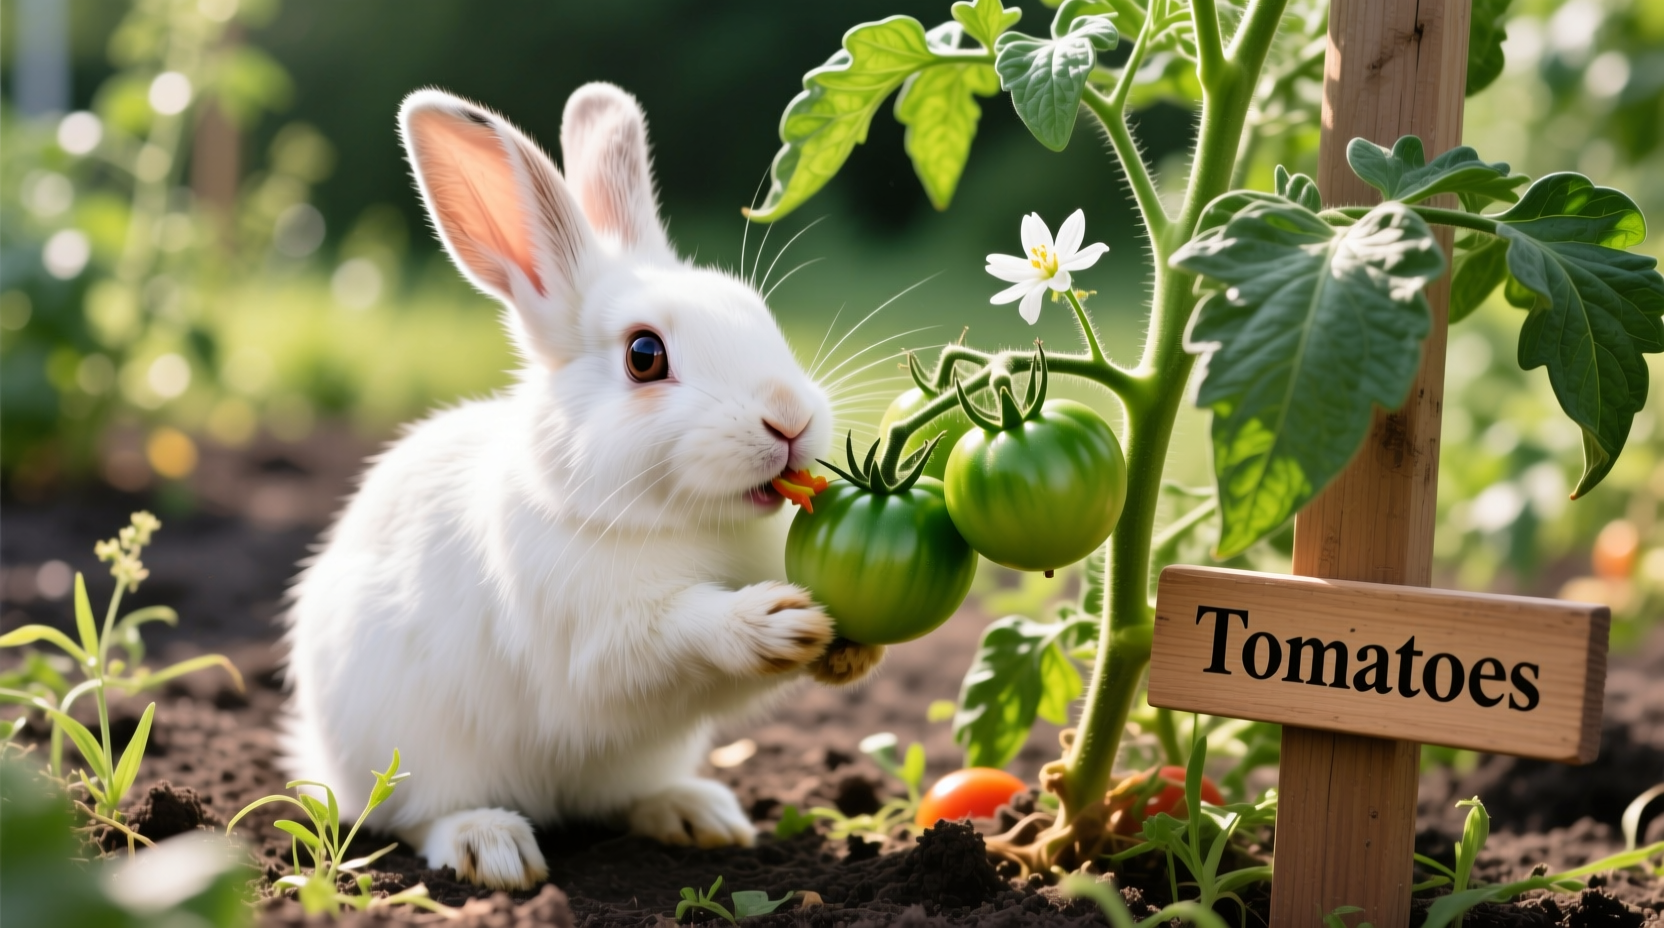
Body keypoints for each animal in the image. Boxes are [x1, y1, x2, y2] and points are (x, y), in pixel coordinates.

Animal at [281, 82, 885, 891]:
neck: (688, 522)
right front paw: (775, 622)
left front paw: (851, 653)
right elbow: (677, 634)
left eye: (758, 316)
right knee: (410, 815)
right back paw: (491, 847)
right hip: (411, 750)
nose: (790, 418)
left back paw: (696, 814)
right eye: (644, 355)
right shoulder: (596, 639)